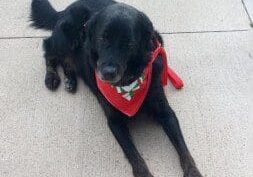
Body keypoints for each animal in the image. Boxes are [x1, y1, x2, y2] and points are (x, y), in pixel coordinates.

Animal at [31, 0, 204, 176]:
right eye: (103, 38)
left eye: (129, 43)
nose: (108, 73)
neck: (130, 83)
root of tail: (67, 8)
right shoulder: (115, 121)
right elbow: (134, 155)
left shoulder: (167, 113)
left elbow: (183, 149)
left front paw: (193, 171)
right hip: (65, 37)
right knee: (49, 51)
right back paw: (52, 77)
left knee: (66, 61)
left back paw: (70, 80)